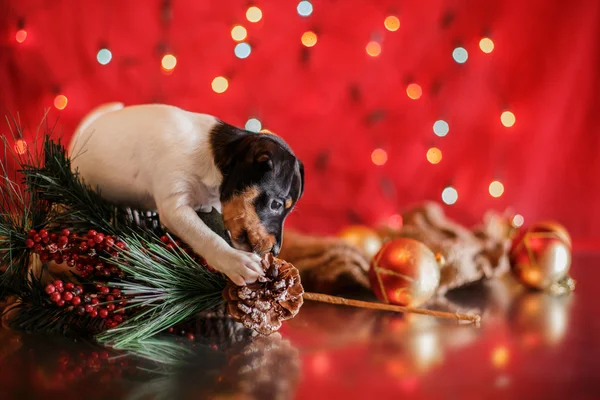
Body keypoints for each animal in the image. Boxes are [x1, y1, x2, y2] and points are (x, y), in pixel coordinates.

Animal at [69, 102, 304, 284]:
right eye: (276, 204)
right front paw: (236, 261)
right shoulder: (175, 207)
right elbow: (206, 236)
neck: (210, 158)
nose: (275, 252)